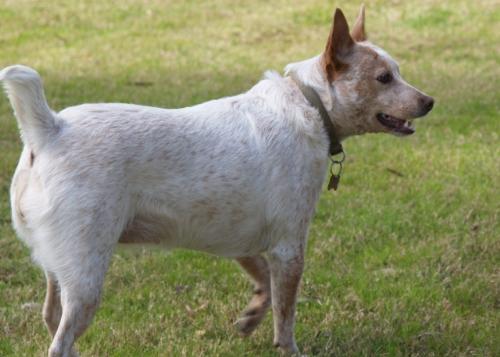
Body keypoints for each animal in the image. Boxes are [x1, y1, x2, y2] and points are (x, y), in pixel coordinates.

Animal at [0, 6, 432, 356]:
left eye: (397, 72)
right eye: (384, 78)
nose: (429, 101)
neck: (310, 103)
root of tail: (50, 130)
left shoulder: (239, 241)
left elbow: (263, 284)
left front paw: (251, 315)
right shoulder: (290, 248)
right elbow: (285, 314)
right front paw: (286, 345)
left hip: (62, 268)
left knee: (51, 316)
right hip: (87, 275)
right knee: (59, 340)